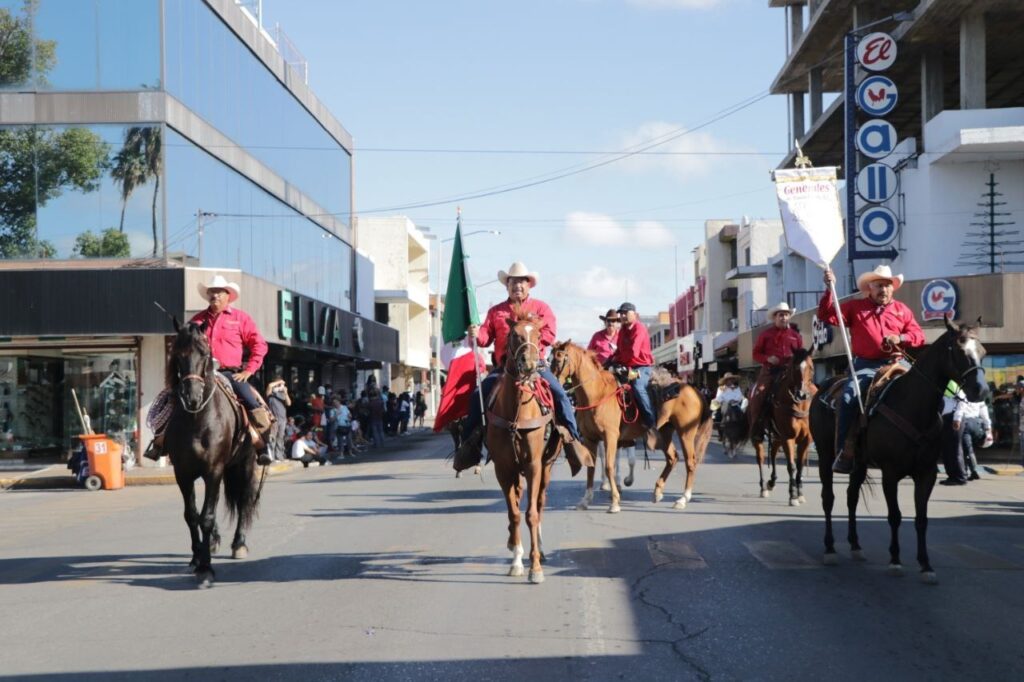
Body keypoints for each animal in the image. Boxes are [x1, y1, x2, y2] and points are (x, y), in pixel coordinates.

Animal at [164, 321, 262, 585]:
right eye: (178, 355)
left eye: (205, 354)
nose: (192, 397)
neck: (197, 420)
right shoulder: (183, 473)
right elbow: (192, 515)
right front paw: (197, 557)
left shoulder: (213, 470)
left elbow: (206, 517)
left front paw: (206, 568)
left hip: (246, 463)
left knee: (244, 500)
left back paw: (239, 543)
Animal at [485, 311, 561, 581]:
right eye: (514, 335)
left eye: (538, 335)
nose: (529, 365)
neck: (516, 413)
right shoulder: (503, 469)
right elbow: (515, 514)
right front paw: (517, 561)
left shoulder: (534, 465)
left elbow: (531, 514)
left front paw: (535, 566)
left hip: (547, 467)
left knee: (539, 503)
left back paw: (541, 550)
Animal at [552, 339, 712, 509]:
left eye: (559, 359)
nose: (551, 385)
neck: (597, 394)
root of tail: (692, 389)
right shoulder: (590, 439)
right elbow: (591, 466)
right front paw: (586, 500)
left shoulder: (610, 437)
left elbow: (609, 466)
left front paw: (615, 501)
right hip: (665, 432)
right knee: (672, 457)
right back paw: (657, 491)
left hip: (685, 432)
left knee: (690, 461)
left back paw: (683, 498)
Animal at [753, 348, 815, 501]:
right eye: (794, 367)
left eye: (811, 367)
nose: (801, 394)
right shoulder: (788, 437)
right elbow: (791, 466)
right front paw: (792, 495)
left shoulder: (805, 439)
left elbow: (800, 465)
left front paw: (800, 493)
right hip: (761, 433)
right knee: (760, 457)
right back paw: (763, 487)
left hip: (777, 435)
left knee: (773, 453)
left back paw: (772, 481)